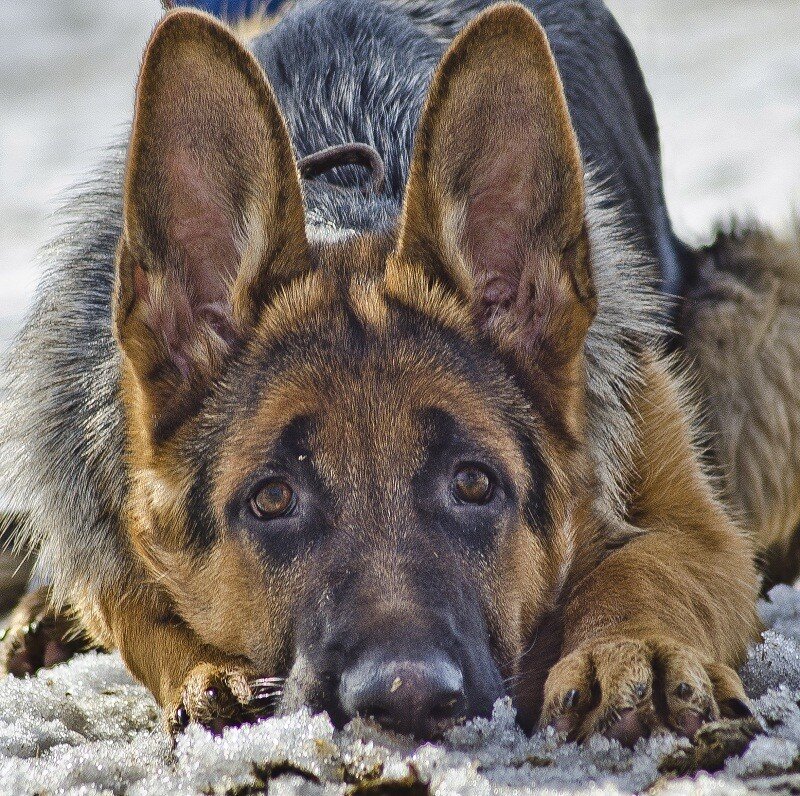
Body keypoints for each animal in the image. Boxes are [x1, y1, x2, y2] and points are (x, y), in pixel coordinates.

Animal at [6, 0, 800, 748]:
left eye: (473, 483)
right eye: (272, 499)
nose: (405, 698)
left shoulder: (698, 527)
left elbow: (647, 568)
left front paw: (629, 650)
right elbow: (134, 605)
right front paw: (209, 674)